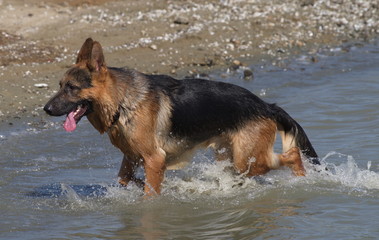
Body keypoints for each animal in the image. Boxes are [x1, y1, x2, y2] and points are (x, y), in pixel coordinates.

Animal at [43, 38, 320, 197]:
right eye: (60, 86)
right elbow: (126, 179)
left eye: (71, 88)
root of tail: (266, 105)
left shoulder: (153, 159)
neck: (122, 101)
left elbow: (150, 192)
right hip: (230, 157)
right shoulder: (133, 157)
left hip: (246, 161)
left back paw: (302, 179)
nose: (46, 109)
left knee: (292, 154)